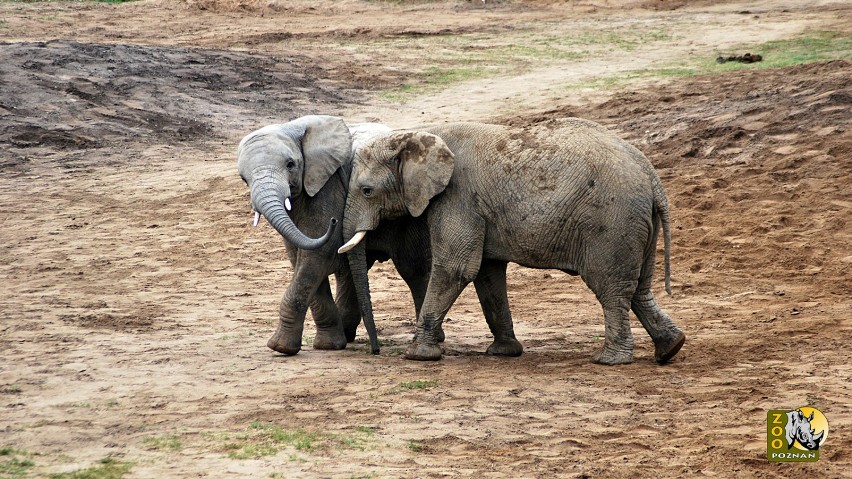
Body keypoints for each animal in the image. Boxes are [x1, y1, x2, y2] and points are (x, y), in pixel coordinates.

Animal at [340, 117, 684, 364]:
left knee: (611, 287)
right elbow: (487, 273)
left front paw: (418, 355)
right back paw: (670, 348)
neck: (421, 134)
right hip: (637, 222)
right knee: (639, 289)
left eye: (367, 190)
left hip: (612, 222)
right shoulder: (478, 208)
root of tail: (652, 177)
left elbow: (457, 267)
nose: (374, 351)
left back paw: (609, 360)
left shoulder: (458, 197)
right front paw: (504, 352)